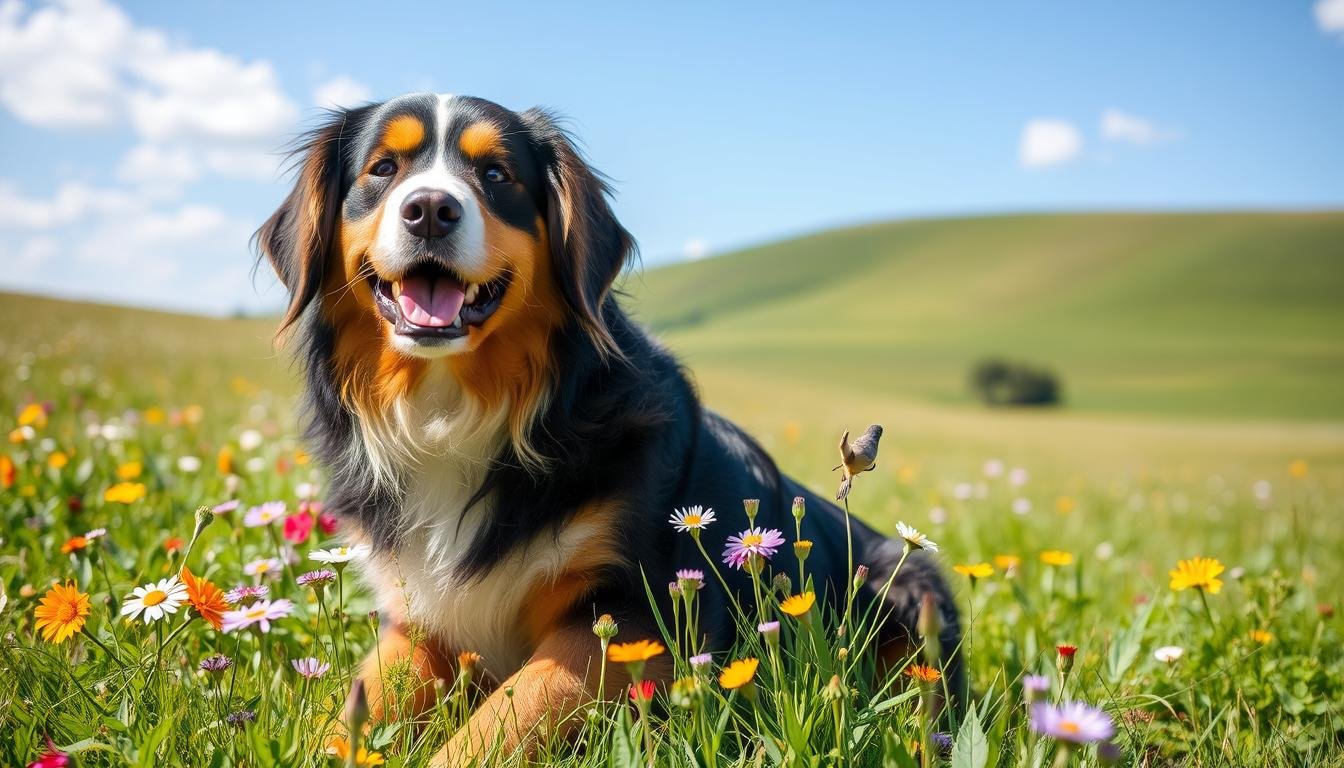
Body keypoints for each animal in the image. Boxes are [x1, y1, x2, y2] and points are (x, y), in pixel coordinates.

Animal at [254, 91, 967, 763]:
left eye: (496, 173)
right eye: (383, 168)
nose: (430, 208)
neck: (456, 412)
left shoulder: (627, 612)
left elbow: (503, 717)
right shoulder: (419, 620)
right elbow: (353, 710)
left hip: (909, 594)